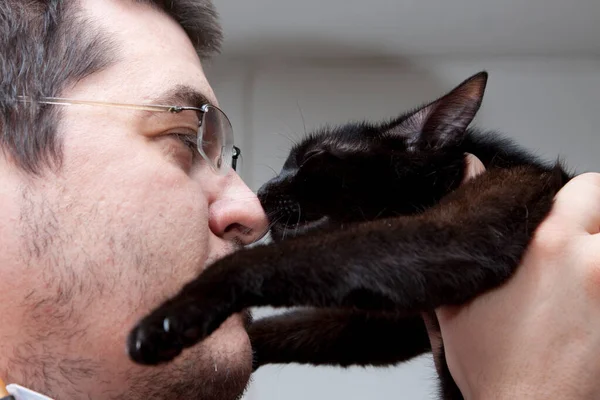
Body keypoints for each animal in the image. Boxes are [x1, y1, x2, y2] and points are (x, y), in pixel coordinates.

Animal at [127, 72, 572, 400]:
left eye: (311, 159)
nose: (262, 190)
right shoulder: (390, 324)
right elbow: (299, 326)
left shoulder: (457, 230)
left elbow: (276, 260)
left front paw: (173, 316)